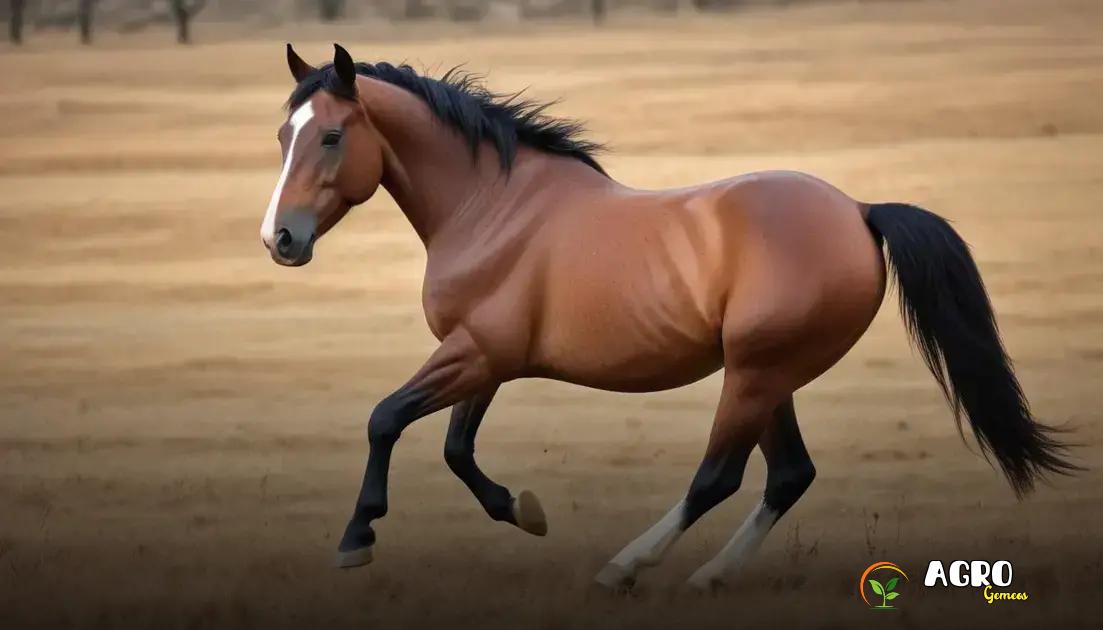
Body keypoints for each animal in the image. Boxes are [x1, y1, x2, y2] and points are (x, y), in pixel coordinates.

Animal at [260, 44, 1077, 591]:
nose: (280, 240)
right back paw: (710, 577)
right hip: (769, 376)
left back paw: (626, 567)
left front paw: (357, 536)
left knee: (718, 477)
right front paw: (523, 510)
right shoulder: (483, 361)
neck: (492, 208)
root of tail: (858, 210)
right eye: (282, 135)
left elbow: (385, 419)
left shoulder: (475, 354)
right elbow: (457, 450)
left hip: (753, 374)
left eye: (330, 135)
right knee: (788, 475)